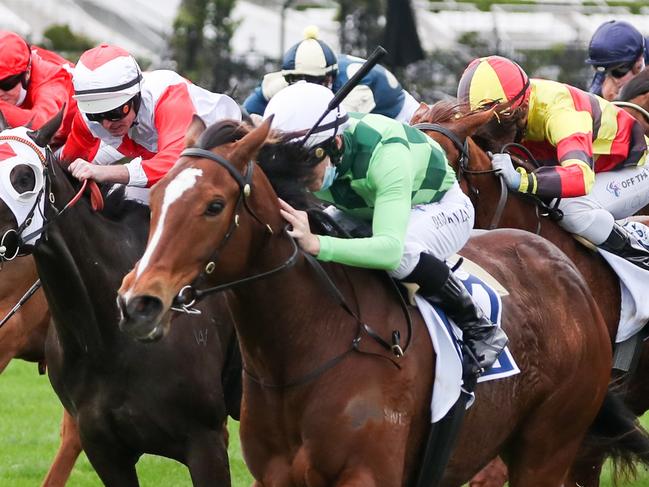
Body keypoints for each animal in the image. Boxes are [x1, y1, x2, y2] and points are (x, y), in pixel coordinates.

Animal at [116, 116, 628, 486]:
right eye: (156, 199)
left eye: (214, 206)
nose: (137, 302)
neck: (304, 349)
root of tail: (565, 270)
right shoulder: (275, 477)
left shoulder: (366, 475)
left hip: (548, 447)